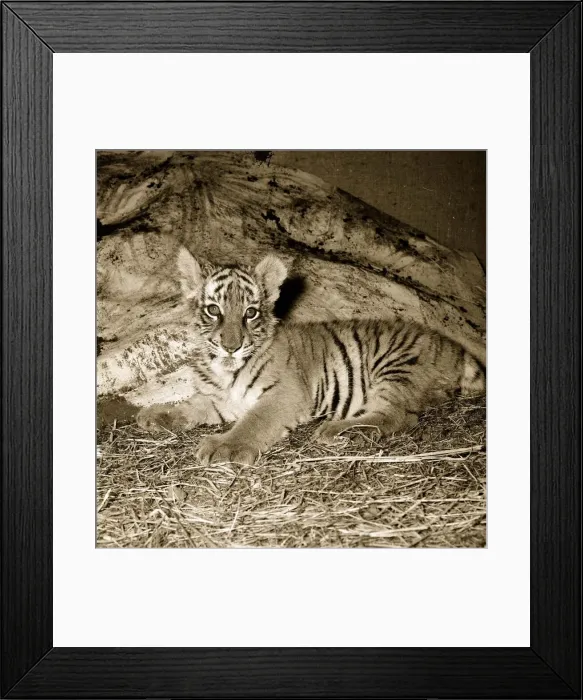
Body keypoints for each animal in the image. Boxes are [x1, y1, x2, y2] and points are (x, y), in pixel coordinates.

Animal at [136, 245, 485, 466]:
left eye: (250, 313)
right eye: (213, 310)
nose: (231, 346)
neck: (222, 369)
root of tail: (452, 345)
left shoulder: (284, 395)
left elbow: (254, 422)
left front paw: (225, 447)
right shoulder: (221, 399)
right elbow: (189, 406)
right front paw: (155, 414)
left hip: (394, 367)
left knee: (398, 416)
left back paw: (335, 429)